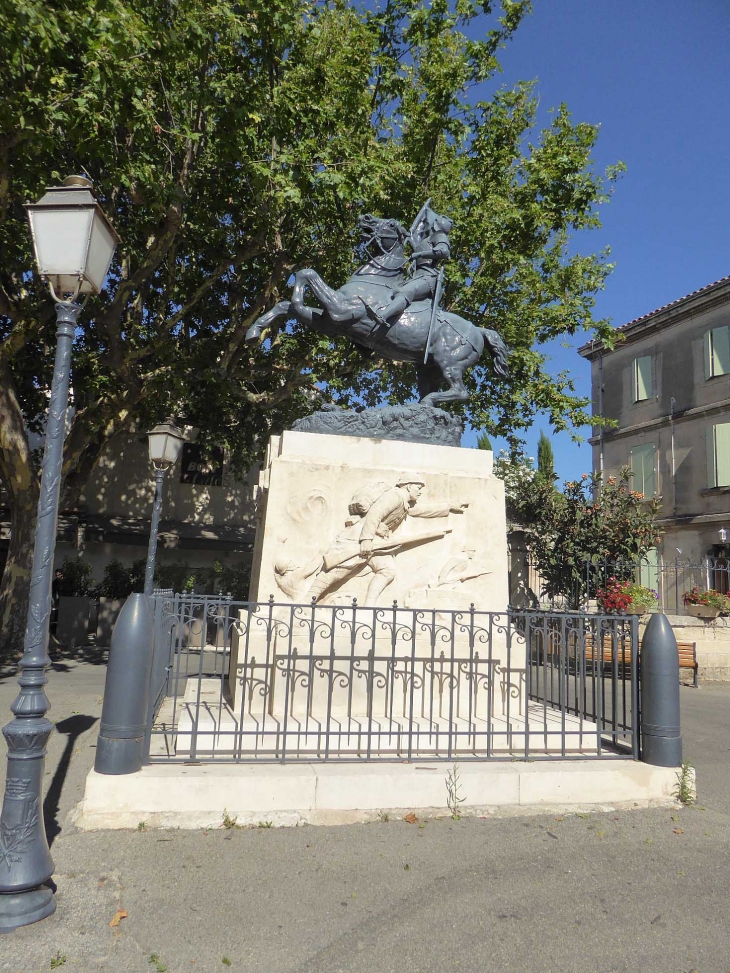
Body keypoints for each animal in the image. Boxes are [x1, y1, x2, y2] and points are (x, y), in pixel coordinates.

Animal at [245, 215, 506, 404]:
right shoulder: (330, 324)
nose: (366, 218)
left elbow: (306, 273)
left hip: (450, 361)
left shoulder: (342, 309)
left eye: (391, 224)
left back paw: (428, 403)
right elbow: (284, 304)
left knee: (461, 392)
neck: (374, 278)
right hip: (428, 368)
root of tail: (479, 331)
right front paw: (253, 333)